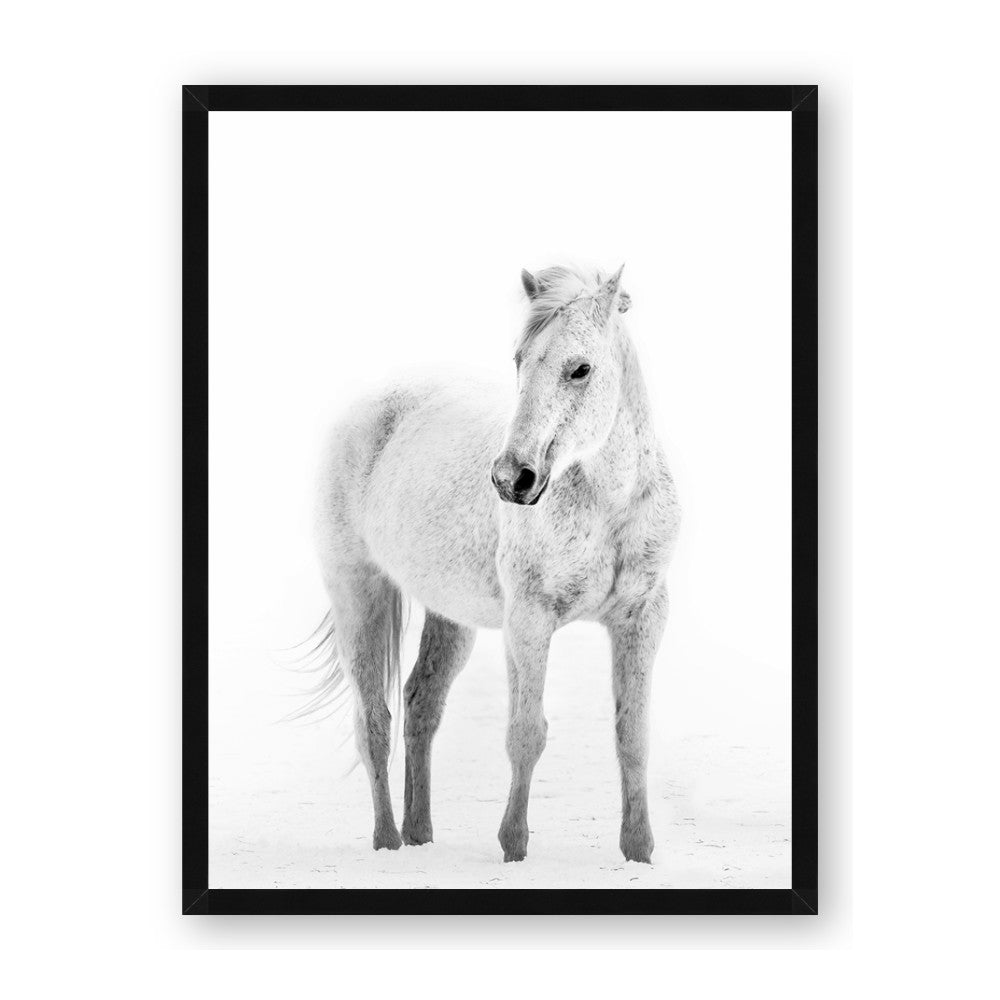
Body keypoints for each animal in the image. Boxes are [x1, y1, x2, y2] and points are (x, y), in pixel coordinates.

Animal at [311, 264, 681, 863]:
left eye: (581, 369)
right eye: (519, 360)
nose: (512, 479)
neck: (610, 505)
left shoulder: (643, 617)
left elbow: (633, 736)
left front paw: (639, 852)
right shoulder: (529, 621)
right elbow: (526, 734)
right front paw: (513, 848)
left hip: (449, 617)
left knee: (420, 705)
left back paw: (420, 834)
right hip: (357, 593)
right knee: (374, 721)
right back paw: (388, 842)